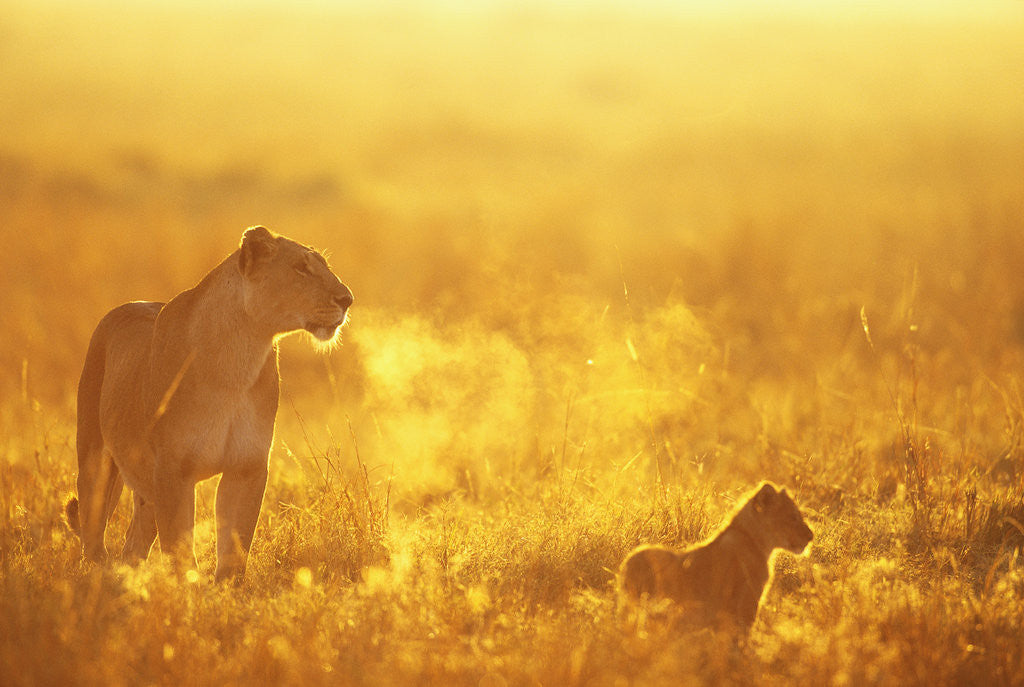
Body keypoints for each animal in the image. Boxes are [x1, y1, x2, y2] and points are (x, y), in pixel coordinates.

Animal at [64, 226, 352, 581]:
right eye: (300, 268)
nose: (347, 299)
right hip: (96, 460)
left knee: (133, 545)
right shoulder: (173, 470)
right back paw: (101, 576)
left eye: (323, 265)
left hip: (145, 487)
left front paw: (225, 592)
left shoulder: (246, 467)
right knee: (93, 536)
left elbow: (235, 549)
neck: (238, 360)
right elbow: (180, 550)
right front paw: (188, 588)